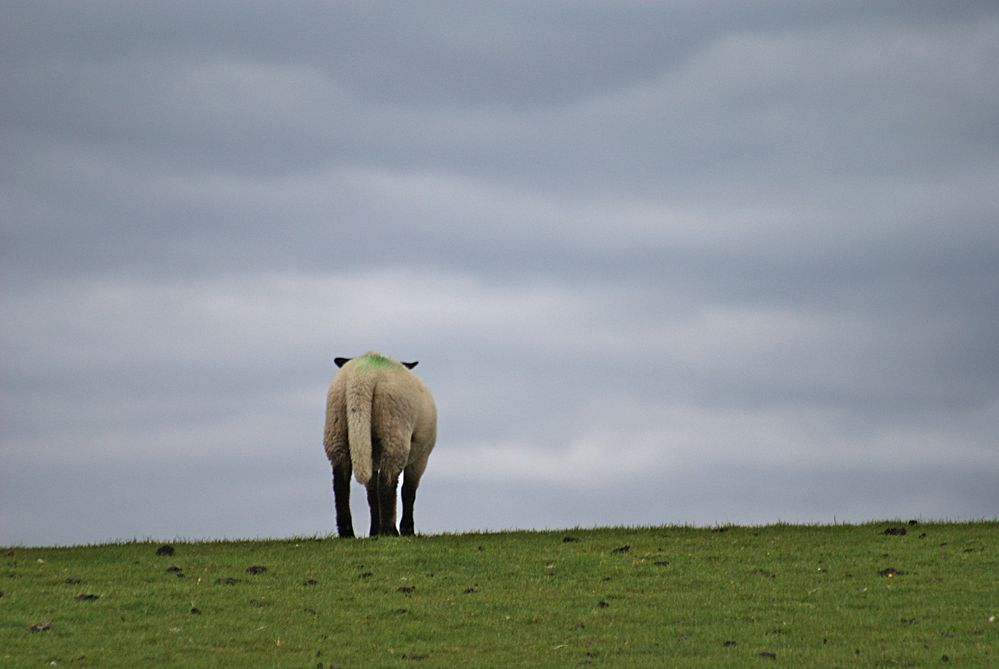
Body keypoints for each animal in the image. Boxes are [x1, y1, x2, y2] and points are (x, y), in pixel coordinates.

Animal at [324, 352, 438, 536]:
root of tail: (363, 374)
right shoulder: (422, 456)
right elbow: (408, 491)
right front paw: (407, 529)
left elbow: (371, 493)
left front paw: (373, 531)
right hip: (393, 429)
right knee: (388, 482)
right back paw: (389, 530)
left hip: (337, 428)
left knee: (341, 483)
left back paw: (347, 532)